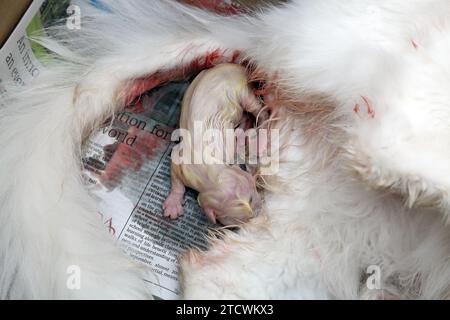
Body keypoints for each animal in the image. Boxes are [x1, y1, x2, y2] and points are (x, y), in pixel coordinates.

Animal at [163, 62, 266, 222]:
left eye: (255, 188)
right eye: (239, 222)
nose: (261, 208)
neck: (210, 170)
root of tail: (239, 67)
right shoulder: (184, 164)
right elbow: (175, 176)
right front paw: (173, 204)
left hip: (242, 90)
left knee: (257, 109)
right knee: (247, 115)